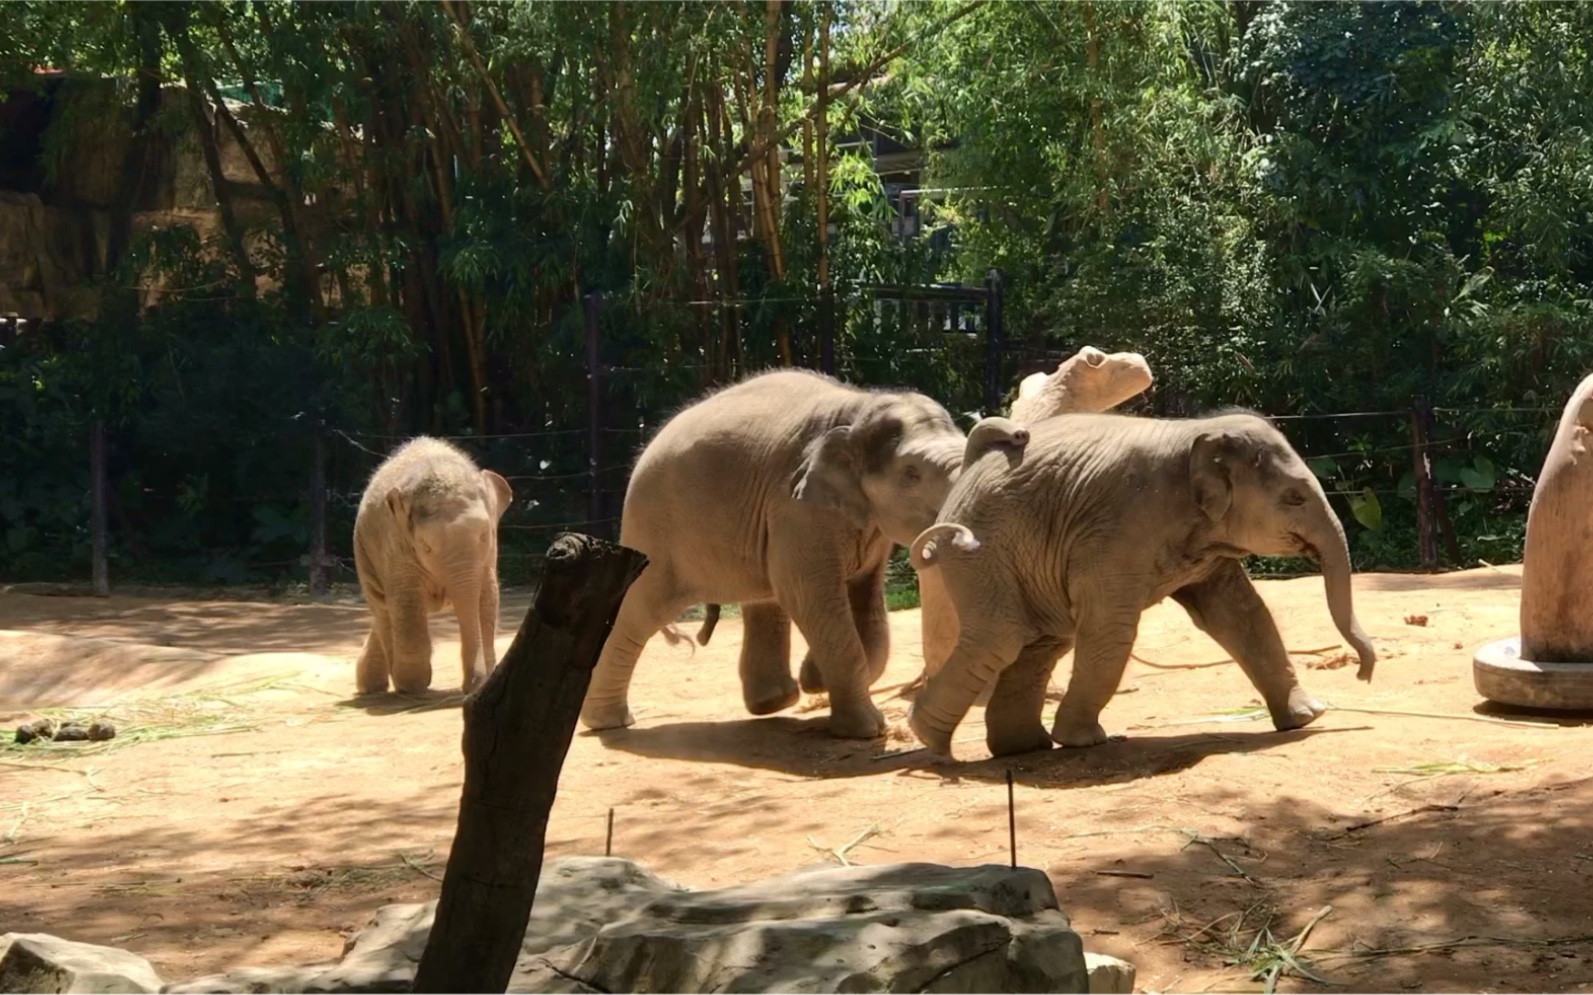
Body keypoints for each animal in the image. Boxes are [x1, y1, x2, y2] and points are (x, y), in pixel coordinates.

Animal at [353, 433, 509, 690]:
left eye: (484, 536)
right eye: (426, 547)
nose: (470, 685)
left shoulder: (489, 554)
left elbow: (487, 597)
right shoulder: (396, 548)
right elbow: (407, 601)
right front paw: (413, 684)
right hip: (364, 554)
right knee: (384, 608)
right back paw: (387, 683)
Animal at [579, 369, 1025, 732]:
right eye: (911, 474)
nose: (1018, 435)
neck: (857, 407)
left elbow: (865, 600)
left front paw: (815, 680)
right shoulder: (795, 508)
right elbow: (811, 596)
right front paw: (867, 729)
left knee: (764, 598)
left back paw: (773, 702)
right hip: (655, 529)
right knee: (642, 610)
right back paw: (609, 723)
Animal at [904, 407, 1376, 757]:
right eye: (1294, 498)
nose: (1364, 675)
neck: (1196, 432)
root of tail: (969, 471)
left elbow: (1241, 615)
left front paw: (1308, 717)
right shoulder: (1120, 527)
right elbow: (1110, 628)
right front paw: (1085, 741)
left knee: (1040, 643)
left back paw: (1022, 748)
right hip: (984, 552)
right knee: (1001, 640)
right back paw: (933, 740)